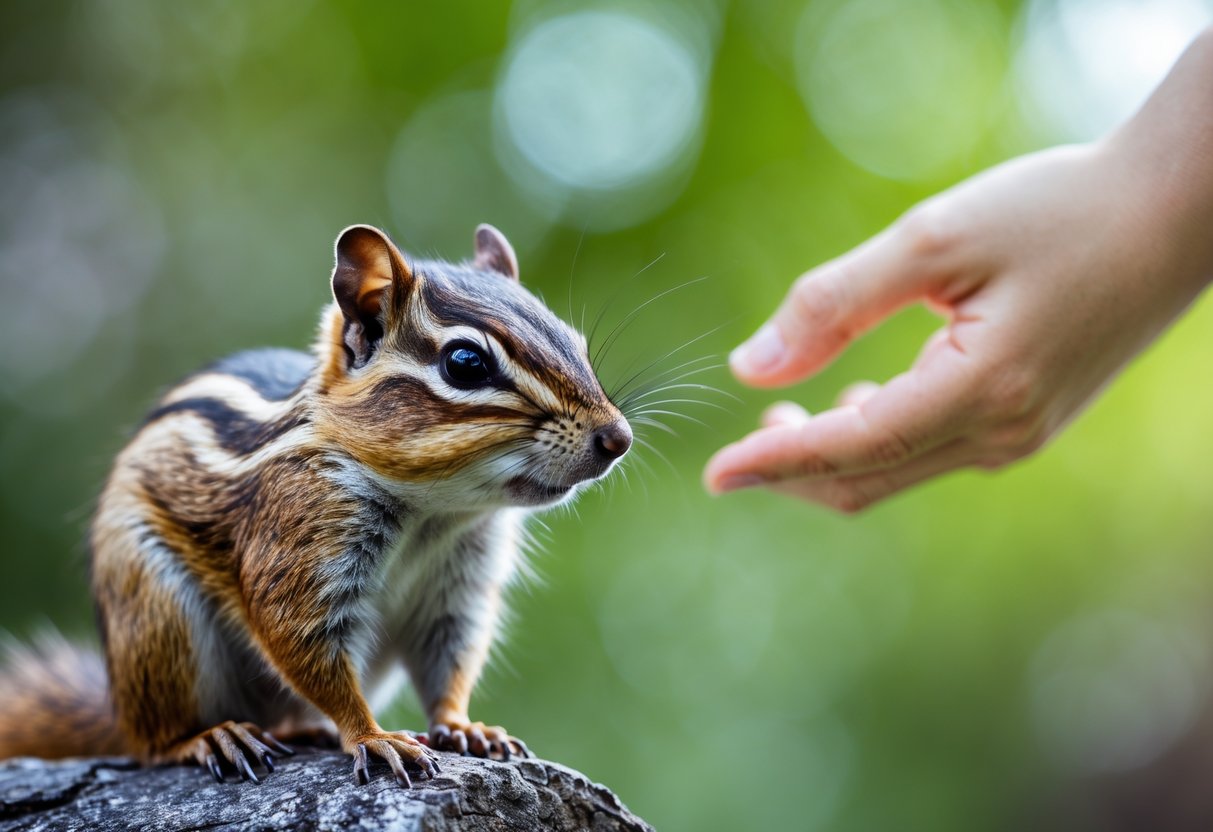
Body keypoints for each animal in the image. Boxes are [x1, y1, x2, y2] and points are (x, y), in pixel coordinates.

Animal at [0, 223, 632, 787]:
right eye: (465, 363)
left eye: (573, 341)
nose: (618, 438)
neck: (435, 511)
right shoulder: (300, 544)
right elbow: (307, 652)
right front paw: (374, 737)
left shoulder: (460, 589)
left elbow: (450, 663)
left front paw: (464, 726)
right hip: (155, 618)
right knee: (153, 744)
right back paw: (212, 736)